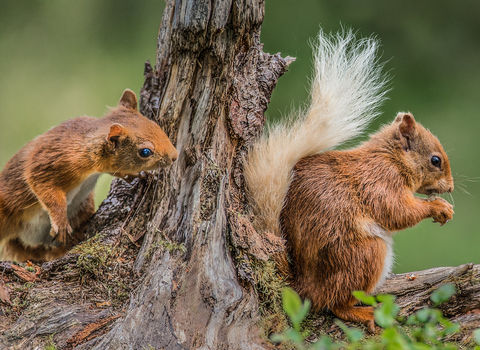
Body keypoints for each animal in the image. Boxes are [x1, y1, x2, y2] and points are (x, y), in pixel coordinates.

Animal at [0, 90, 178, 262]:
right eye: (145, 152)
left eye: (155, 126)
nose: (175, 156)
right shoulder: (51, 162)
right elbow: (45, 188)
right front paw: (61, 223)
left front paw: (137, 174)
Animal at [244, 29, 454, 330]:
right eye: (435, 160)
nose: (450, 186)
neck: (391, 159)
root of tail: (303, 287)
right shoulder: (379, 181)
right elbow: (396, 211)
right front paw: (438, 207)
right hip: (364, 255)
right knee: (335, 304)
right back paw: (363, 312)